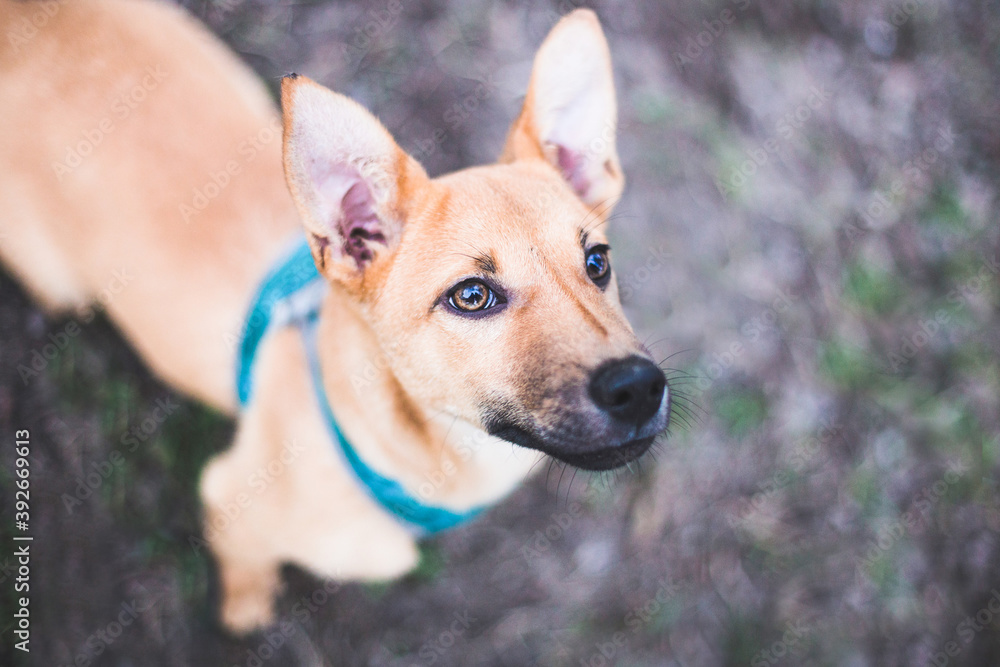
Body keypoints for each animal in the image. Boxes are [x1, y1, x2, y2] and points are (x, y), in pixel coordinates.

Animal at [1, 0, 672, 632]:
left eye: (597, 262)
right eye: (471, 296)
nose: (638, 388)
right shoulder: (229, 502)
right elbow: (245, 570)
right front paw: (246, 611)